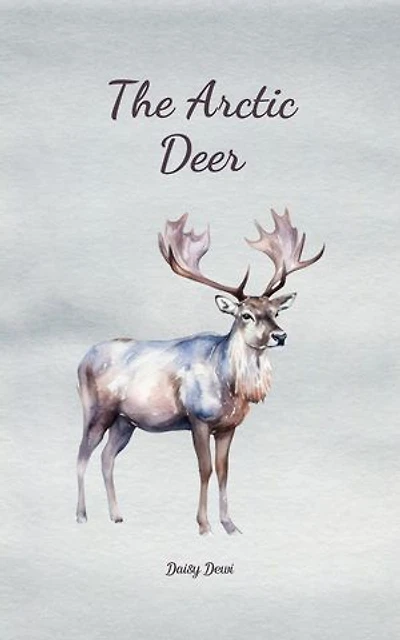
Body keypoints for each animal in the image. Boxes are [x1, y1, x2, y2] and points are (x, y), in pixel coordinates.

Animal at [76, 208, 324, 535]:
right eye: (246, 315)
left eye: (275, 312)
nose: (280, 335)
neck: (228, 385)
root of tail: (81, 361)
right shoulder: (198, 418)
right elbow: (204, 469)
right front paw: (204, 525)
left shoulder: (228, 427)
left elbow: (223, 471)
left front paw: (230, 525)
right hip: (96, 410)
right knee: (82, 456)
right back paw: (81, 515)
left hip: (125, 421)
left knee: (106, 457)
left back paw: (116, 515)